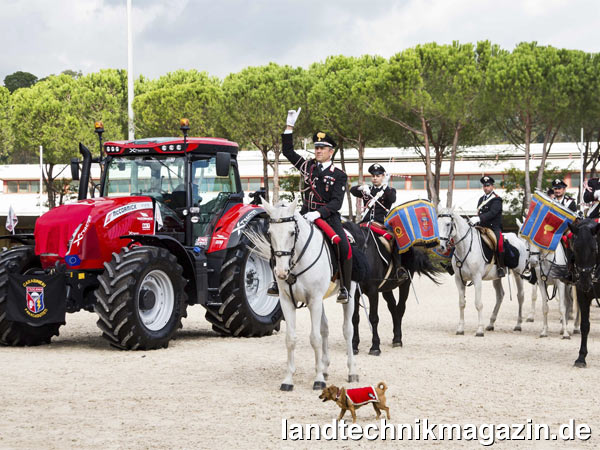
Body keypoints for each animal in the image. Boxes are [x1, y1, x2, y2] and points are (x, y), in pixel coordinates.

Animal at [247, 199, 356, 392]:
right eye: (269, 233)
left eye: (292, 232)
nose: (281, 272)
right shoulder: (287, 301)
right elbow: (291, 339)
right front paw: (288, 380)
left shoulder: (314, 300)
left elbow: (315, 338)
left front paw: (318, 380)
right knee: (325, 328)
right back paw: (325, 368)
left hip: (350, 292)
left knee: (347, 330)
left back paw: (351, 371)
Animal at [342, 221, 440, 356]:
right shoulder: (356, 293)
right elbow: (355, 318)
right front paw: (354, 346)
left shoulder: (373, 292)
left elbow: (373, 318)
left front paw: (375, 347)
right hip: (386, 289)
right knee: (393, 307)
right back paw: (396, 338)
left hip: (405, 284)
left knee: (400, 308)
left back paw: (398, 339)